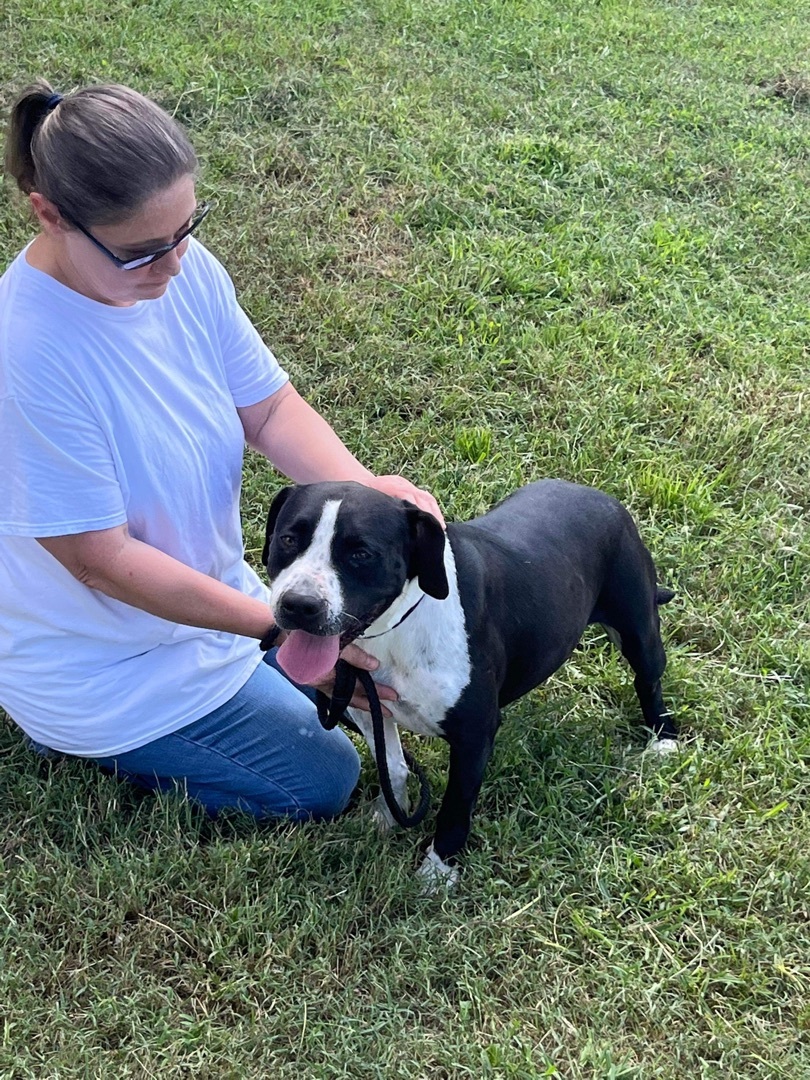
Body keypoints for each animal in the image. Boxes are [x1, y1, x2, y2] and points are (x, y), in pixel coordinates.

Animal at [261, 481, 678, 885]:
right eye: (288, 539)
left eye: (362, 553)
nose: (299, 604)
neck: (397, 626)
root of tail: (603, 497)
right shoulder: (362, 702)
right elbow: (392, 765)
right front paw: (389, 816)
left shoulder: (473, 736)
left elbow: (455, 807)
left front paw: (438, 872)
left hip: (638, 629)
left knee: (649, 679)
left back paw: (664, 739)